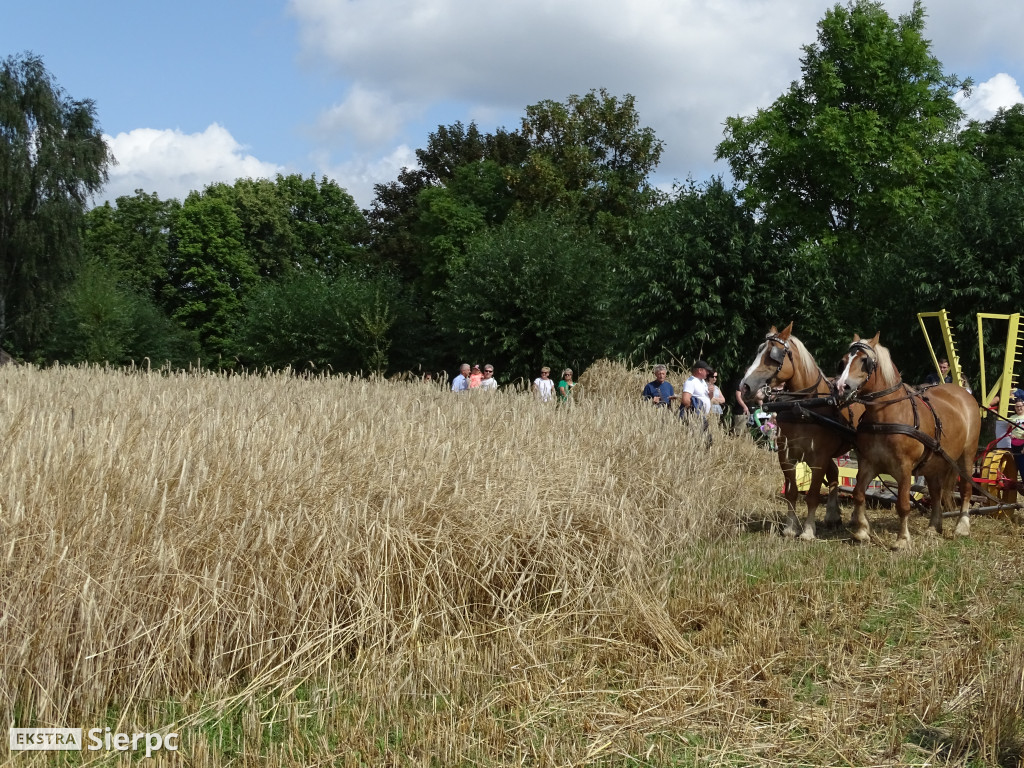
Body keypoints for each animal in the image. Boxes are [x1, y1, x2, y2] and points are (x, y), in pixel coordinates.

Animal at [741, 323, 860, 540]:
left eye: (773, 355)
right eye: (758, 351)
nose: (744, 387)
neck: (802, 405)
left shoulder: (819, 458)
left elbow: (812, 495)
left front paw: (808, 531)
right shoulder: (786, 455)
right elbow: (792, 492)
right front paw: (790, 527)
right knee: (834, 474)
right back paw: (832, 515)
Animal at [835, 333, 978, 548]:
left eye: (864, 361)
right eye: (843, 361)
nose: (841, 387)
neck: (885, 415)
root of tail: (963, 394)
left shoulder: (904, 468)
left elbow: (903, 503)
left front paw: (902, 540)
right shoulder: (868, 463)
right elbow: (858, 494)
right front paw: (861, 532)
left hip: (966, 456)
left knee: (966, 490)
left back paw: (962, 526)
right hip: (934, 463)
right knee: (935, 493)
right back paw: (933, 527)